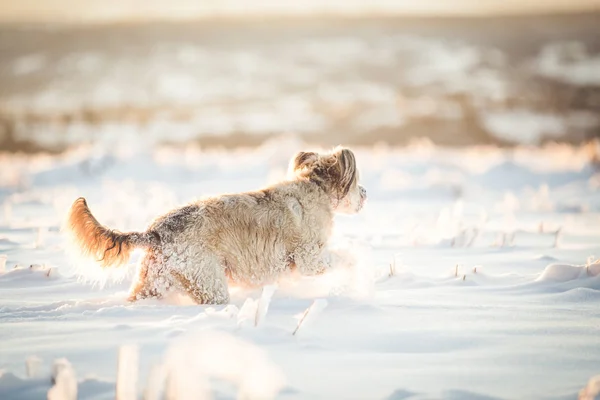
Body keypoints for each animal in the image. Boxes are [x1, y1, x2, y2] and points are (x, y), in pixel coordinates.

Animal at [64, 145, 366, 304]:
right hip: (208, 279)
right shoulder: (308, 257)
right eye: (356, 184)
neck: (316, 188)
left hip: (155, 281)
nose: (365, 193)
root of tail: (155, 233)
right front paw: (358, 268)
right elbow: (340, 259)